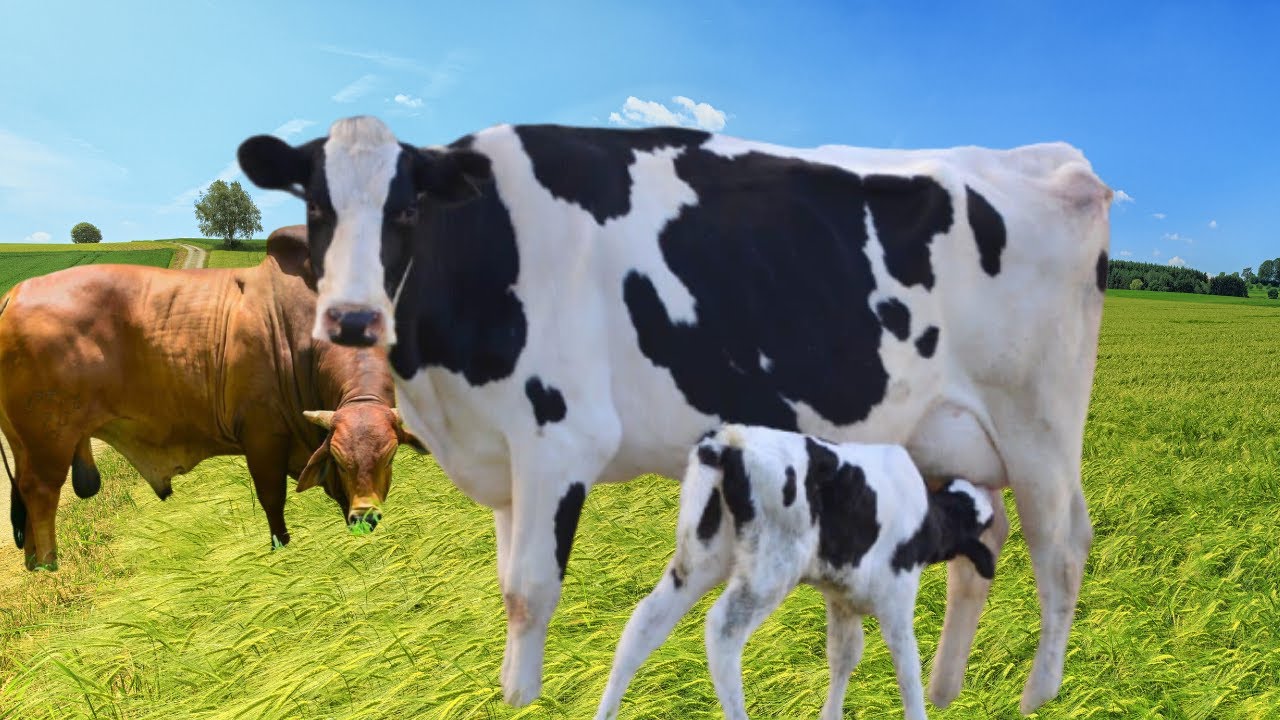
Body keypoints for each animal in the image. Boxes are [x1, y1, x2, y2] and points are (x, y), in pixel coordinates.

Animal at [0, 225, 423, 571]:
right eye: (342, 459)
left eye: (389, 456)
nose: (366, 516)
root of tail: (15, 293)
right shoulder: (263, 436)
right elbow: (273, 500)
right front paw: (282, 550)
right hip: (48, 443)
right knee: (40, 496)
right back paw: (48, 567)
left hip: (28, 445)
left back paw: (35, 562)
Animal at [594, 425, 996, 720]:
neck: (927, 517)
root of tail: (727, 443)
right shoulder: (896, 597)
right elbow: (908, 667)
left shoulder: (843, 599)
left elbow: (845, 655)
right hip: (771, 566)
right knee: (722, 630)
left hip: (699, 559)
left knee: (644, 625)